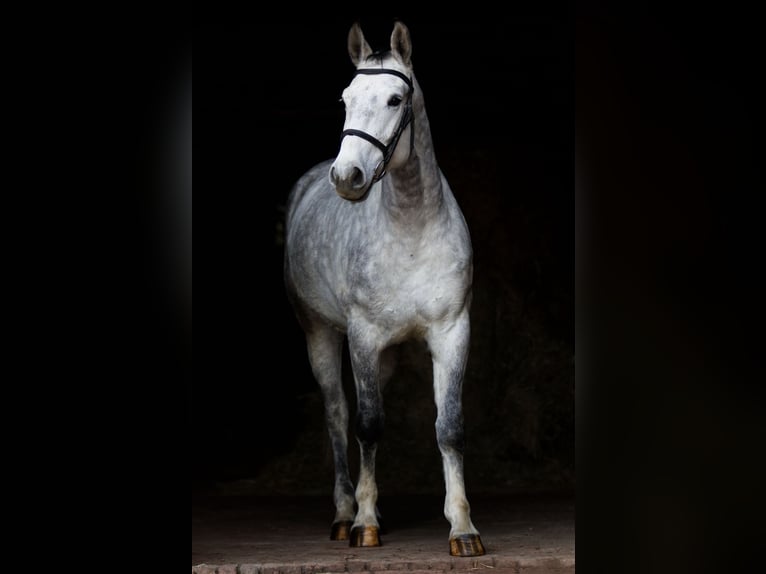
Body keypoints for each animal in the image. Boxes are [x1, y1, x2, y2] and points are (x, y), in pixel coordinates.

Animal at [283, 20, 485, 557]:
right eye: (346, 98)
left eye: (396, 99)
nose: (347, 177)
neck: (411, 230)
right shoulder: (363, 336)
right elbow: (367, 425)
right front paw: (365, 523)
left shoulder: (451, 332)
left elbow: (450, 427)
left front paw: (463, 528)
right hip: (322, 336)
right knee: (339, 415)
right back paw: (343, 513)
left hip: (387, 355)